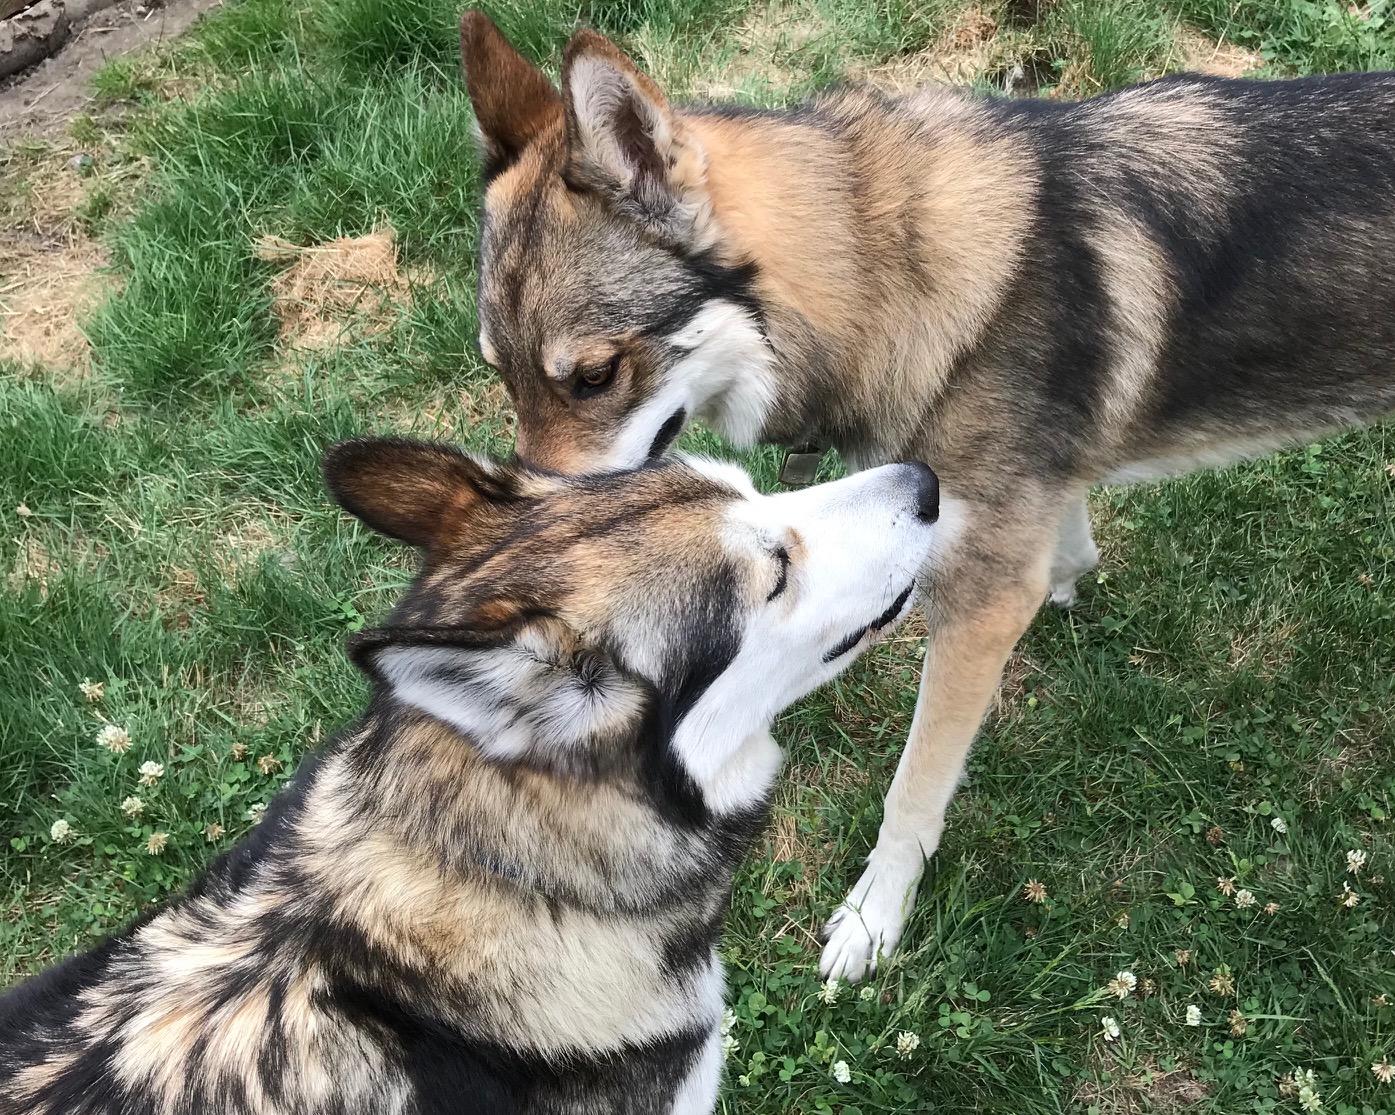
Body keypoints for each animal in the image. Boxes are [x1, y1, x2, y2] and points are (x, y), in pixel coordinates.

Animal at [457, 13, 1395, 982]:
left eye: (594, 375)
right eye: (500, 376)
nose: (527, 543)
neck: (888, 276)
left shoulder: (977, 607)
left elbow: (911, 792)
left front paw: (874, 919)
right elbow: (1067, 530)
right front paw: (1073, 572)